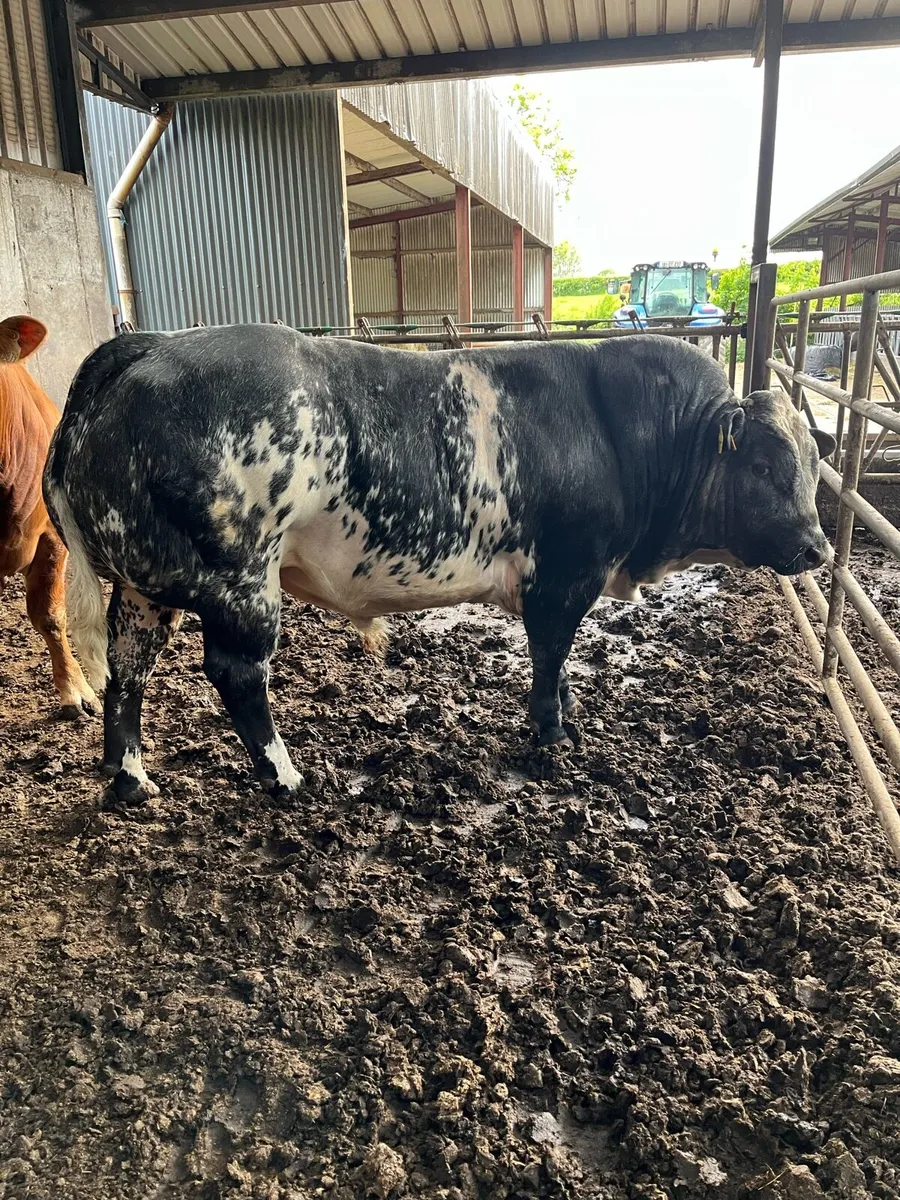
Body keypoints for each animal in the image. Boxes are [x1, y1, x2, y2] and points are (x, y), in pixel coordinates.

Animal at [44, 328, 834, 804]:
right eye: (767, 464)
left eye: (813, 458)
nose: (819, 549)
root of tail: (148, 346)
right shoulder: (563, 576)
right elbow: (550, 657)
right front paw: (555, 738)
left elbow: (561, 664)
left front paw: (571, 721)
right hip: (240, 583)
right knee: (236, 674)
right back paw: (285, 775)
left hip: (145, 587)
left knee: (126, 669)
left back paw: (129, 778)